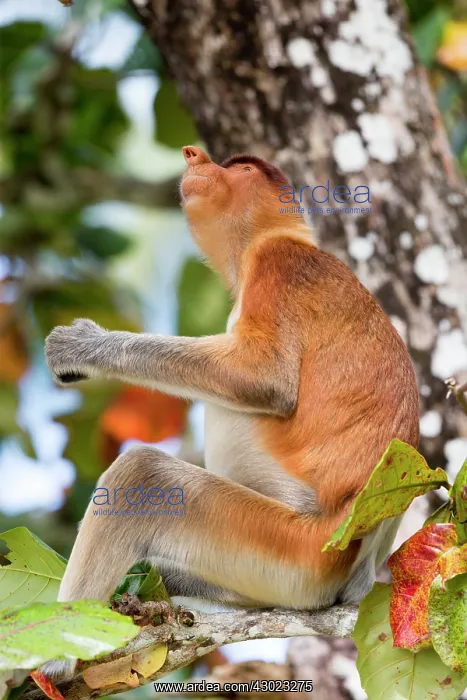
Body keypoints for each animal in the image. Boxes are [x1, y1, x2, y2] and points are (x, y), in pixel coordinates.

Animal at [44, 145, 419, 676]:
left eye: (240, 167)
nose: (194, 155)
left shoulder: (278, 265)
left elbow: (265, 378)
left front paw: (82, 347)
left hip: (291, 551)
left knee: (145, 474)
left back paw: (52, 664)